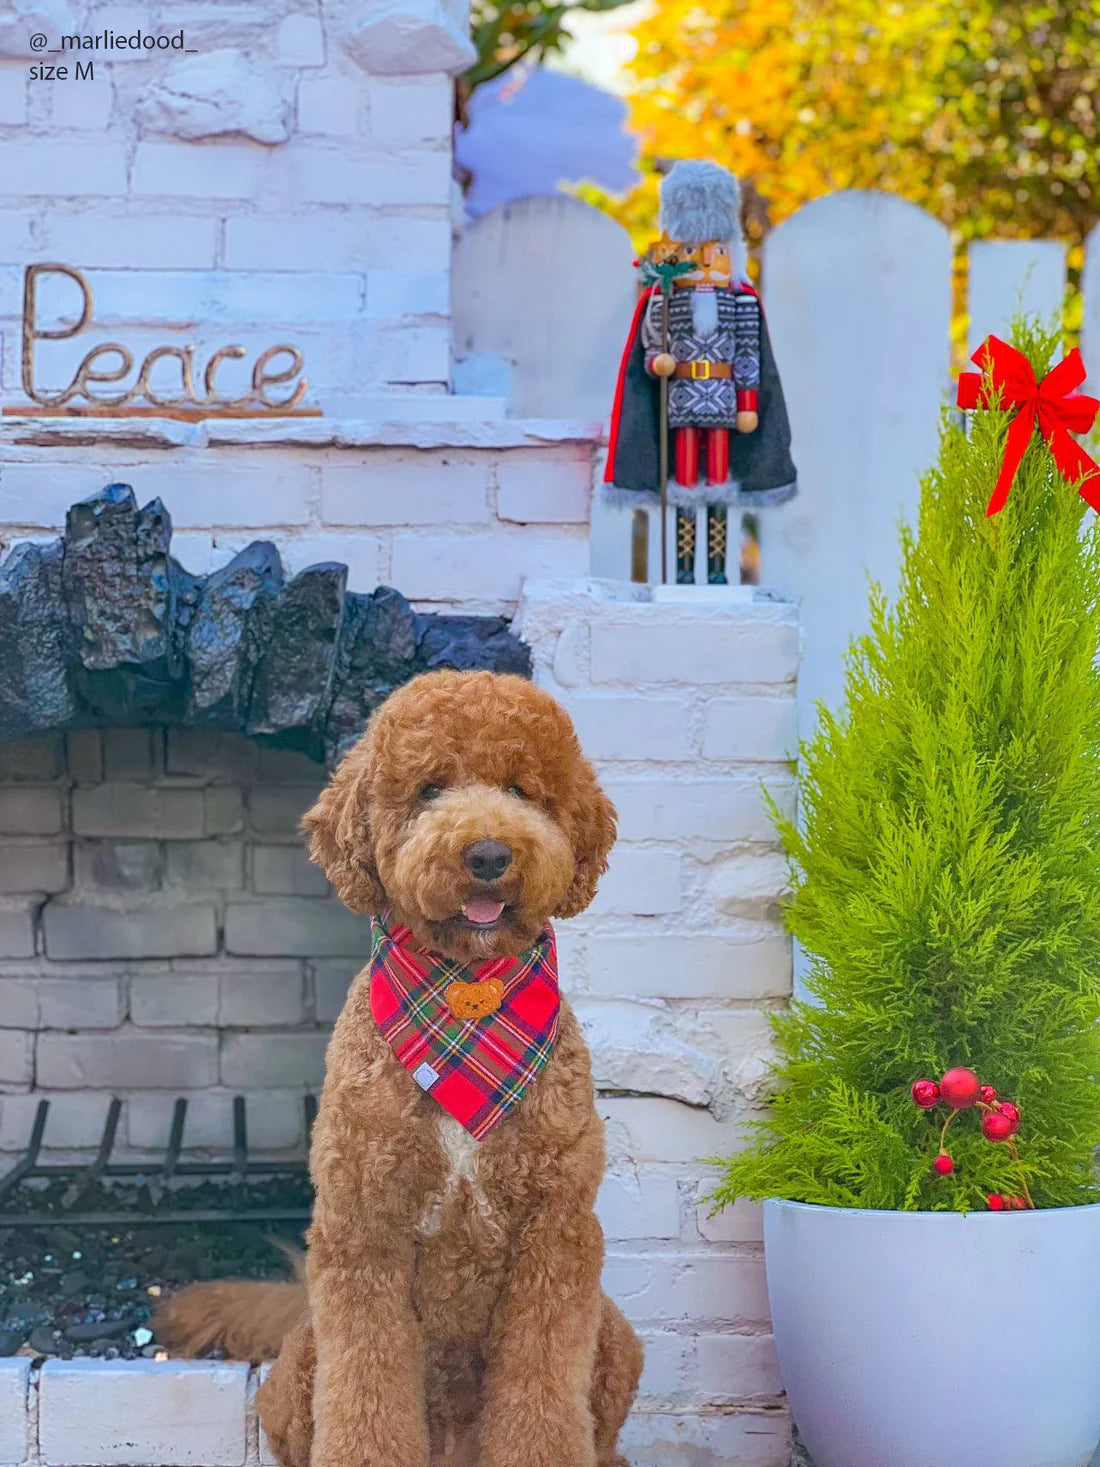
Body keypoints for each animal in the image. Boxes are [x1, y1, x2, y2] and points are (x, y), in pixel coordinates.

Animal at [159, 668, 651, 1467]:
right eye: (429, 788)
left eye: (521, 788)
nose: (487, 854)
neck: (466, 999)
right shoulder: (363, 1229)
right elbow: (367, 1395)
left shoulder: (557, 1235)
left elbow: (543, 1398)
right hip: (298, 1370)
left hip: (615, 1337)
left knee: (599, 1434)